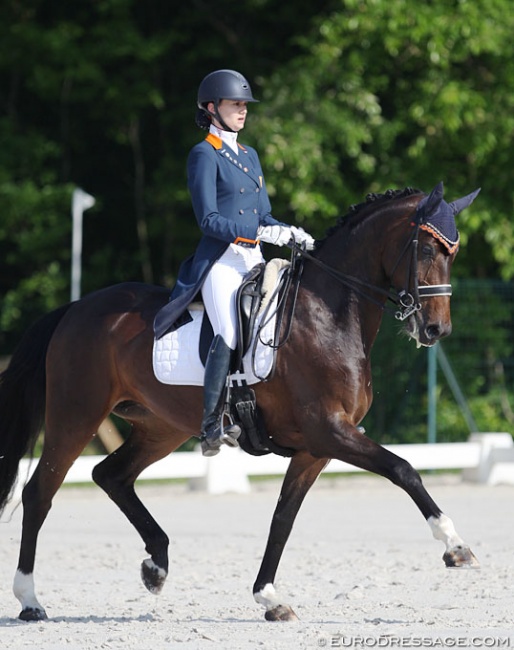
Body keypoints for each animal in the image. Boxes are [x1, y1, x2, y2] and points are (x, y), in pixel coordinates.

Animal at [1, 180, 480, 620]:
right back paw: (30, 601)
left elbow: (283, 517)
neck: (327, 316)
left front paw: (268, 597)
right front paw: (456, 546)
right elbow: (404, 470)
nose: (436, 330)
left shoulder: (315, 448)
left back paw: (156, 565)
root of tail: (77, 308)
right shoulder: (330, 431)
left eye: (454, 254)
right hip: (76, 415)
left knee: (111, 475)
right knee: (40, 492)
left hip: (161, 427)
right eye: (425, 250)